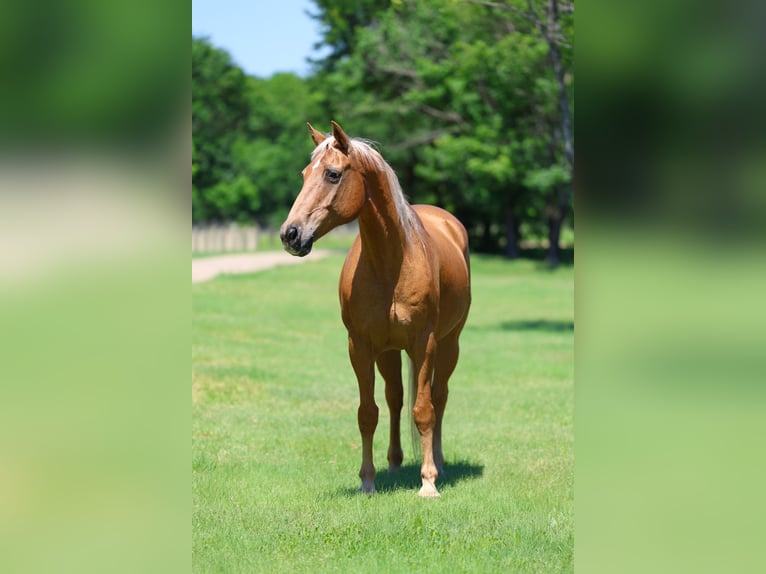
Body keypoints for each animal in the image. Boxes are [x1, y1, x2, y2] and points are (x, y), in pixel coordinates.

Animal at [280, 121, 471, 497]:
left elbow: (424, 409)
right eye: (305, 174)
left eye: (333, 174)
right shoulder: (361, 345)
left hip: (448, 344)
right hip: (389, 352)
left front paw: (428, 482)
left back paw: (438, 462)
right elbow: (368, 412)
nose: (290, 234)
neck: (390, 262)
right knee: (395, 398)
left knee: (438, 397)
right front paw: (367, 481)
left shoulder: (424, 343)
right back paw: (395, 462)